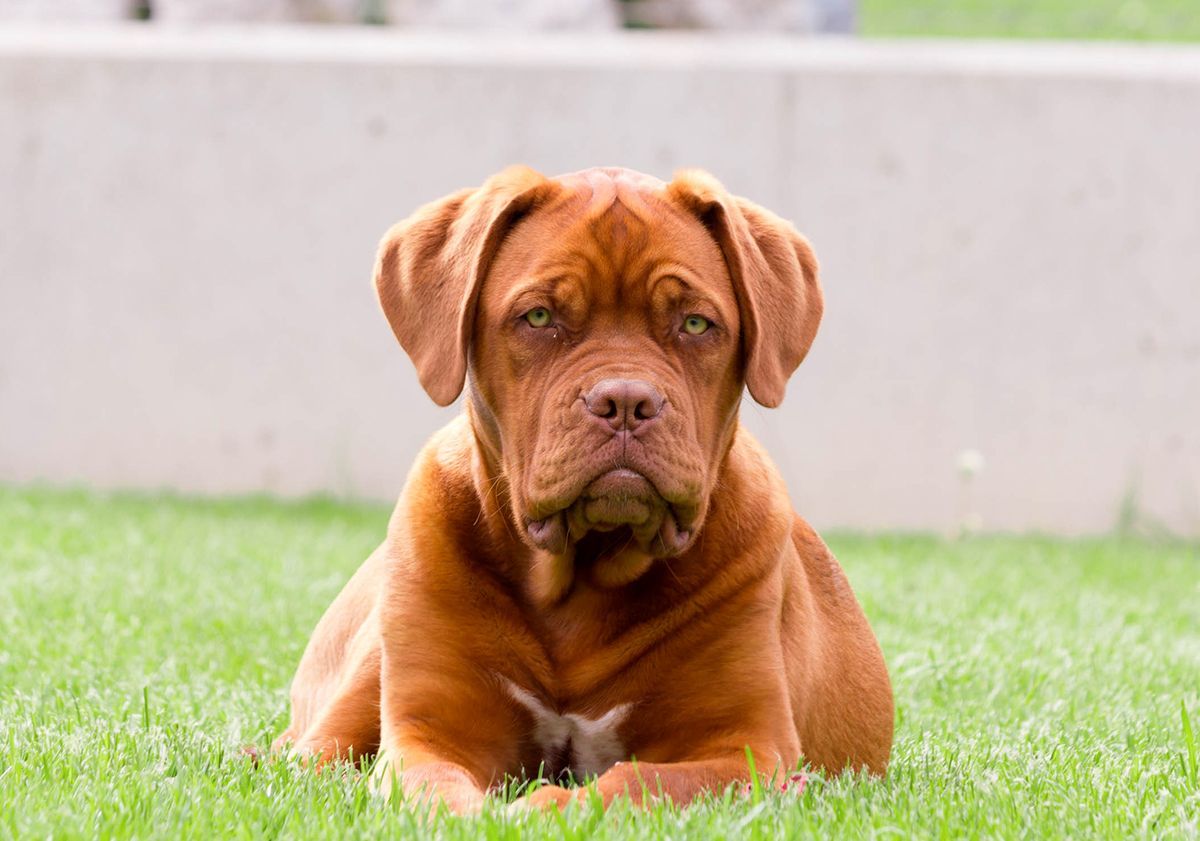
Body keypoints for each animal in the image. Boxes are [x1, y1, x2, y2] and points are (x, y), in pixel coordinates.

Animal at [272, 165, 892, 815]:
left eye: (696, 323)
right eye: (539, 317)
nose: (624, 401)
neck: (580, 581)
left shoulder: (746, 746)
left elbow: (632, 783)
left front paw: (532, 811)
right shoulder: (428, 730)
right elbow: (439, 793)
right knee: (312, 752)